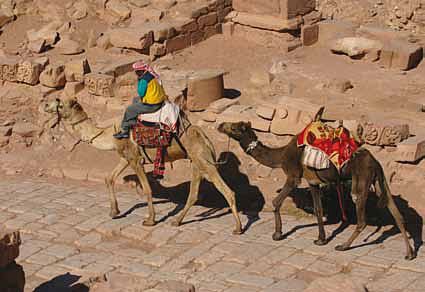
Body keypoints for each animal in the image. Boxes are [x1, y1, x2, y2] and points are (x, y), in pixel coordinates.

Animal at [44, 98, 242, 235]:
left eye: (60, 104)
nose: (46, 105)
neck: (110, 133)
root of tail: (206, 139)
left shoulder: (135, 159)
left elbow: (147, 189)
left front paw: (150, 220)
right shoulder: (126, 157)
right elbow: (109, 178)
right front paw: (114, 212)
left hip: (203, 161)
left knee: (227, 191)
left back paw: (238, 228)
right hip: (196, 162)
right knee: (194, 194)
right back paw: (176, 221)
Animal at [217, 114, 416, 260]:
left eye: (234, 128)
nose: (220, 125)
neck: (280, 156)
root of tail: (375, 163)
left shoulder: (293, 176)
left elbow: (275, 202)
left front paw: (278, 234)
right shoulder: (312, 181)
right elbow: (318, 209)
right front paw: (321, 239)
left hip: (361, 181)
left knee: (361, 220)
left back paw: (343, 246)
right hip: (379, 181)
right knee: (397, 214)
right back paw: (409, 254)